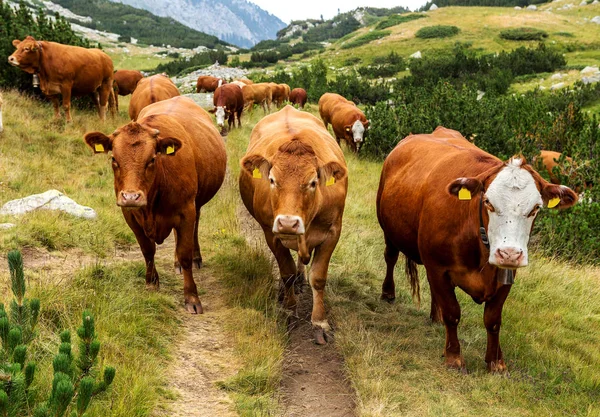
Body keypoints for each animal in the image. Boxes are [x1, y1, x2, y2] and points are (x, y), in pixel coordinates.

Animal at [83, 96, 226, 312]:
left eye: (151, 159)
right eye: (114, 158)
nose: (131, 197)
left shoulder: (186, 211)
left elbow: (184, 254)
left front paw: (192, 298)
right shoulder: (130, 215)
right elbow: (147, 250)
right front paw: (151, 284)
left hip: (196, 205)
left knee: (194, 229)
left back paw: (196, 257)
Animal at [239, 105, 350, 344]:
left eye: (313, 182)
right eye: (272, 180)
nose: (288, 223)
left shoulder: (332, 233)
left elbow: (318, 278)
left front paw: (319, 322)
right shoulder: (271, 233)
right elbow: (286, 272)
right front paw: (290, 311)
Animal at [378, 126, 580, 370]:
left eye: (535, 208)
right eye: (488, 202)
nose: (509, 253)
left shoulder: (505, 276)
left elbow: (492, 320)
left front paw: (496, 361)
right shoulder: (438, 266)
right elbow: (453, 312)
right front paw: (454, 356)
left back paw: (435, 315)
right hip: (389, 231)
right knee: (390, 257)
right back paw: (388, 293)